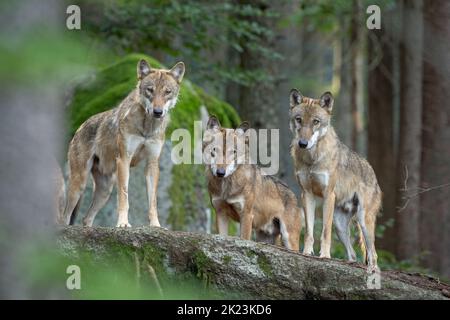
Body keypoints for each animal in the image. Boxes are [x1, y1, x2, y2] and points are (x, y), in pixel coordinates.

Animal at [61, 58, 185, 226]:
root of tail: (80, 127)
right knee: (65, 217)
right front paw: (123, 223)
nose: (158, 112)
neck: (147, 128)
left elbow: (153, 201)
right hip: (79, 184)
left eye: (167, 92)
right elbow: (124, 196)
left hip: (105, 190)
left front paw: (155, 225)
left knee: (86, 218)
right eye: (150, 90)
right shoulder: (124, 159)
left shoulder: (152, 163)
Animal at [204, 116, 302, 251]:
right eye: (214, 150)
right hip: (264, 237)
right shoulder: (220, 213)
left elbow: (244, 240)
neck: (226, 187)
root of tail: (293, 194)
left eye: (233, 152)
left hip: (288, 239)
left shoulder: (246, 215)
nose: (220, 172)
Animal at [290, 89, 382, 270]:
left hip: (363, 221)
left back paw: (372, 271)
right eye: (299, 120)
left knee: (373, 254)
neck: (312, 159)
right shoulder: (307, 194)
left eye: (316, 122)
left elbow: (325, 232)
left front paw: (325, 256)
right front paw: (307, 253)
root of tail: (373, 172)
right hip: (340, 226)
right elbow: (309, 231)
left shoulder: (328, 195)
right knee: (353, 254)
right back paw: (350, 262)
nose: (303, 143)